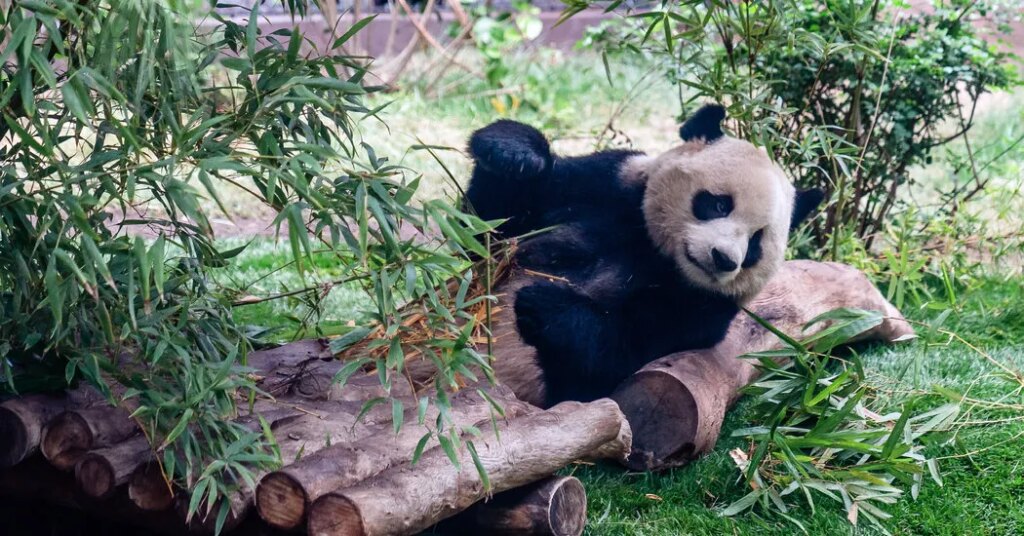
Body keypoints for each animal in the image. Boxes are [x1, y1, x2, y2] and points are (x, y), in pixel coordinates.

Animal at [464, 104, 824, 407]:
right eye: (720, 204)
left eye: (755, 242)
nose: (724, 259)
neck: (656, 252)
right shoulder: (605, 187)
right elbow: (487, 230)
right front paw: (513, 151)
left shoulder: (700, 310)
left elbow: (618, 354)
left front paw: (546, 305)